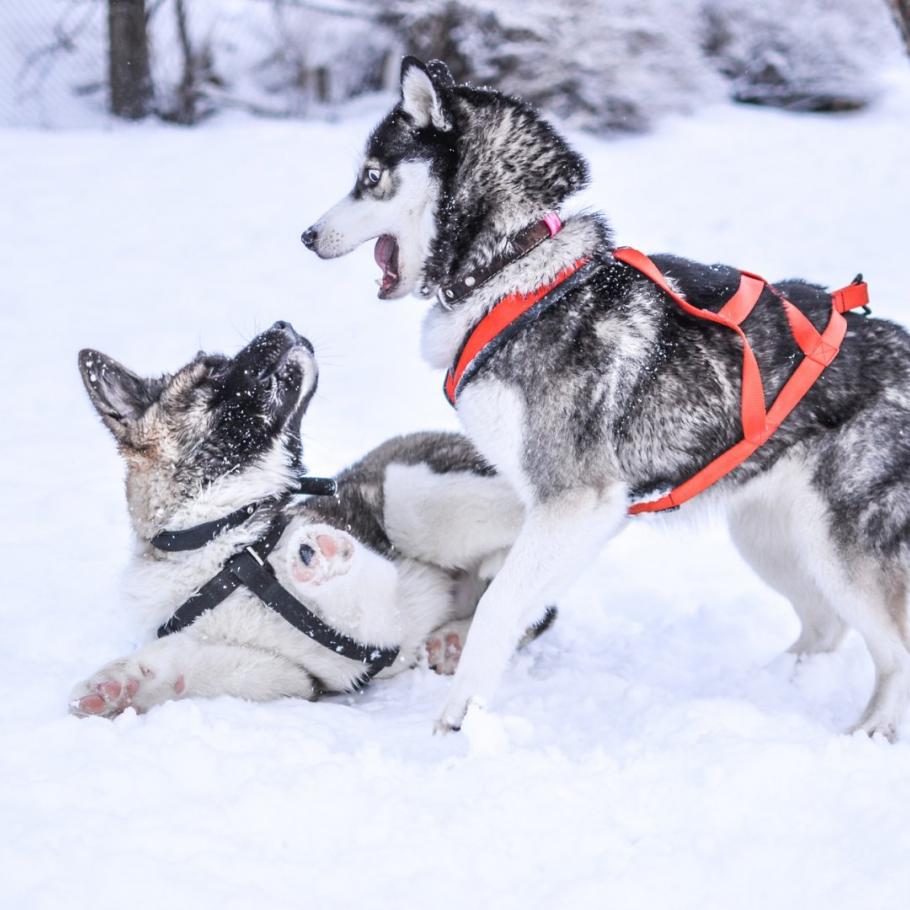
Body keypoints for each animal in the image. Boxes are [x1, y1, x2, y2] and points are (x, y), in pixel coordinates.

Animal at [75, 322, 544, 720]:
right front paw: (121, 686)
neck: (221, 540)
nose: (283, 324)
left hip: (410, 494)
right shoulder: (291, 676)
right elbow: (187, 661)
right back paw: (454, 639)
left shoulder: (385, 613)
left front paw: (323, 557)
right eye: (213, 371)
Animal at [304, 57, 910, 740]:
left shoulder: (576, 501)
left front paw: (458, 721)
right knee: (825, 627)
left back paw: (871, 731)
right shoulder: (573, 514)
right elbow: (512, 596)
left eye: (370, 177)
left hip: (840, 547)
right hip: (768, 535)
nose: (307, 235)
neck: (513, 269)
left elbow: (498, 605)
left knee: (894, 650)